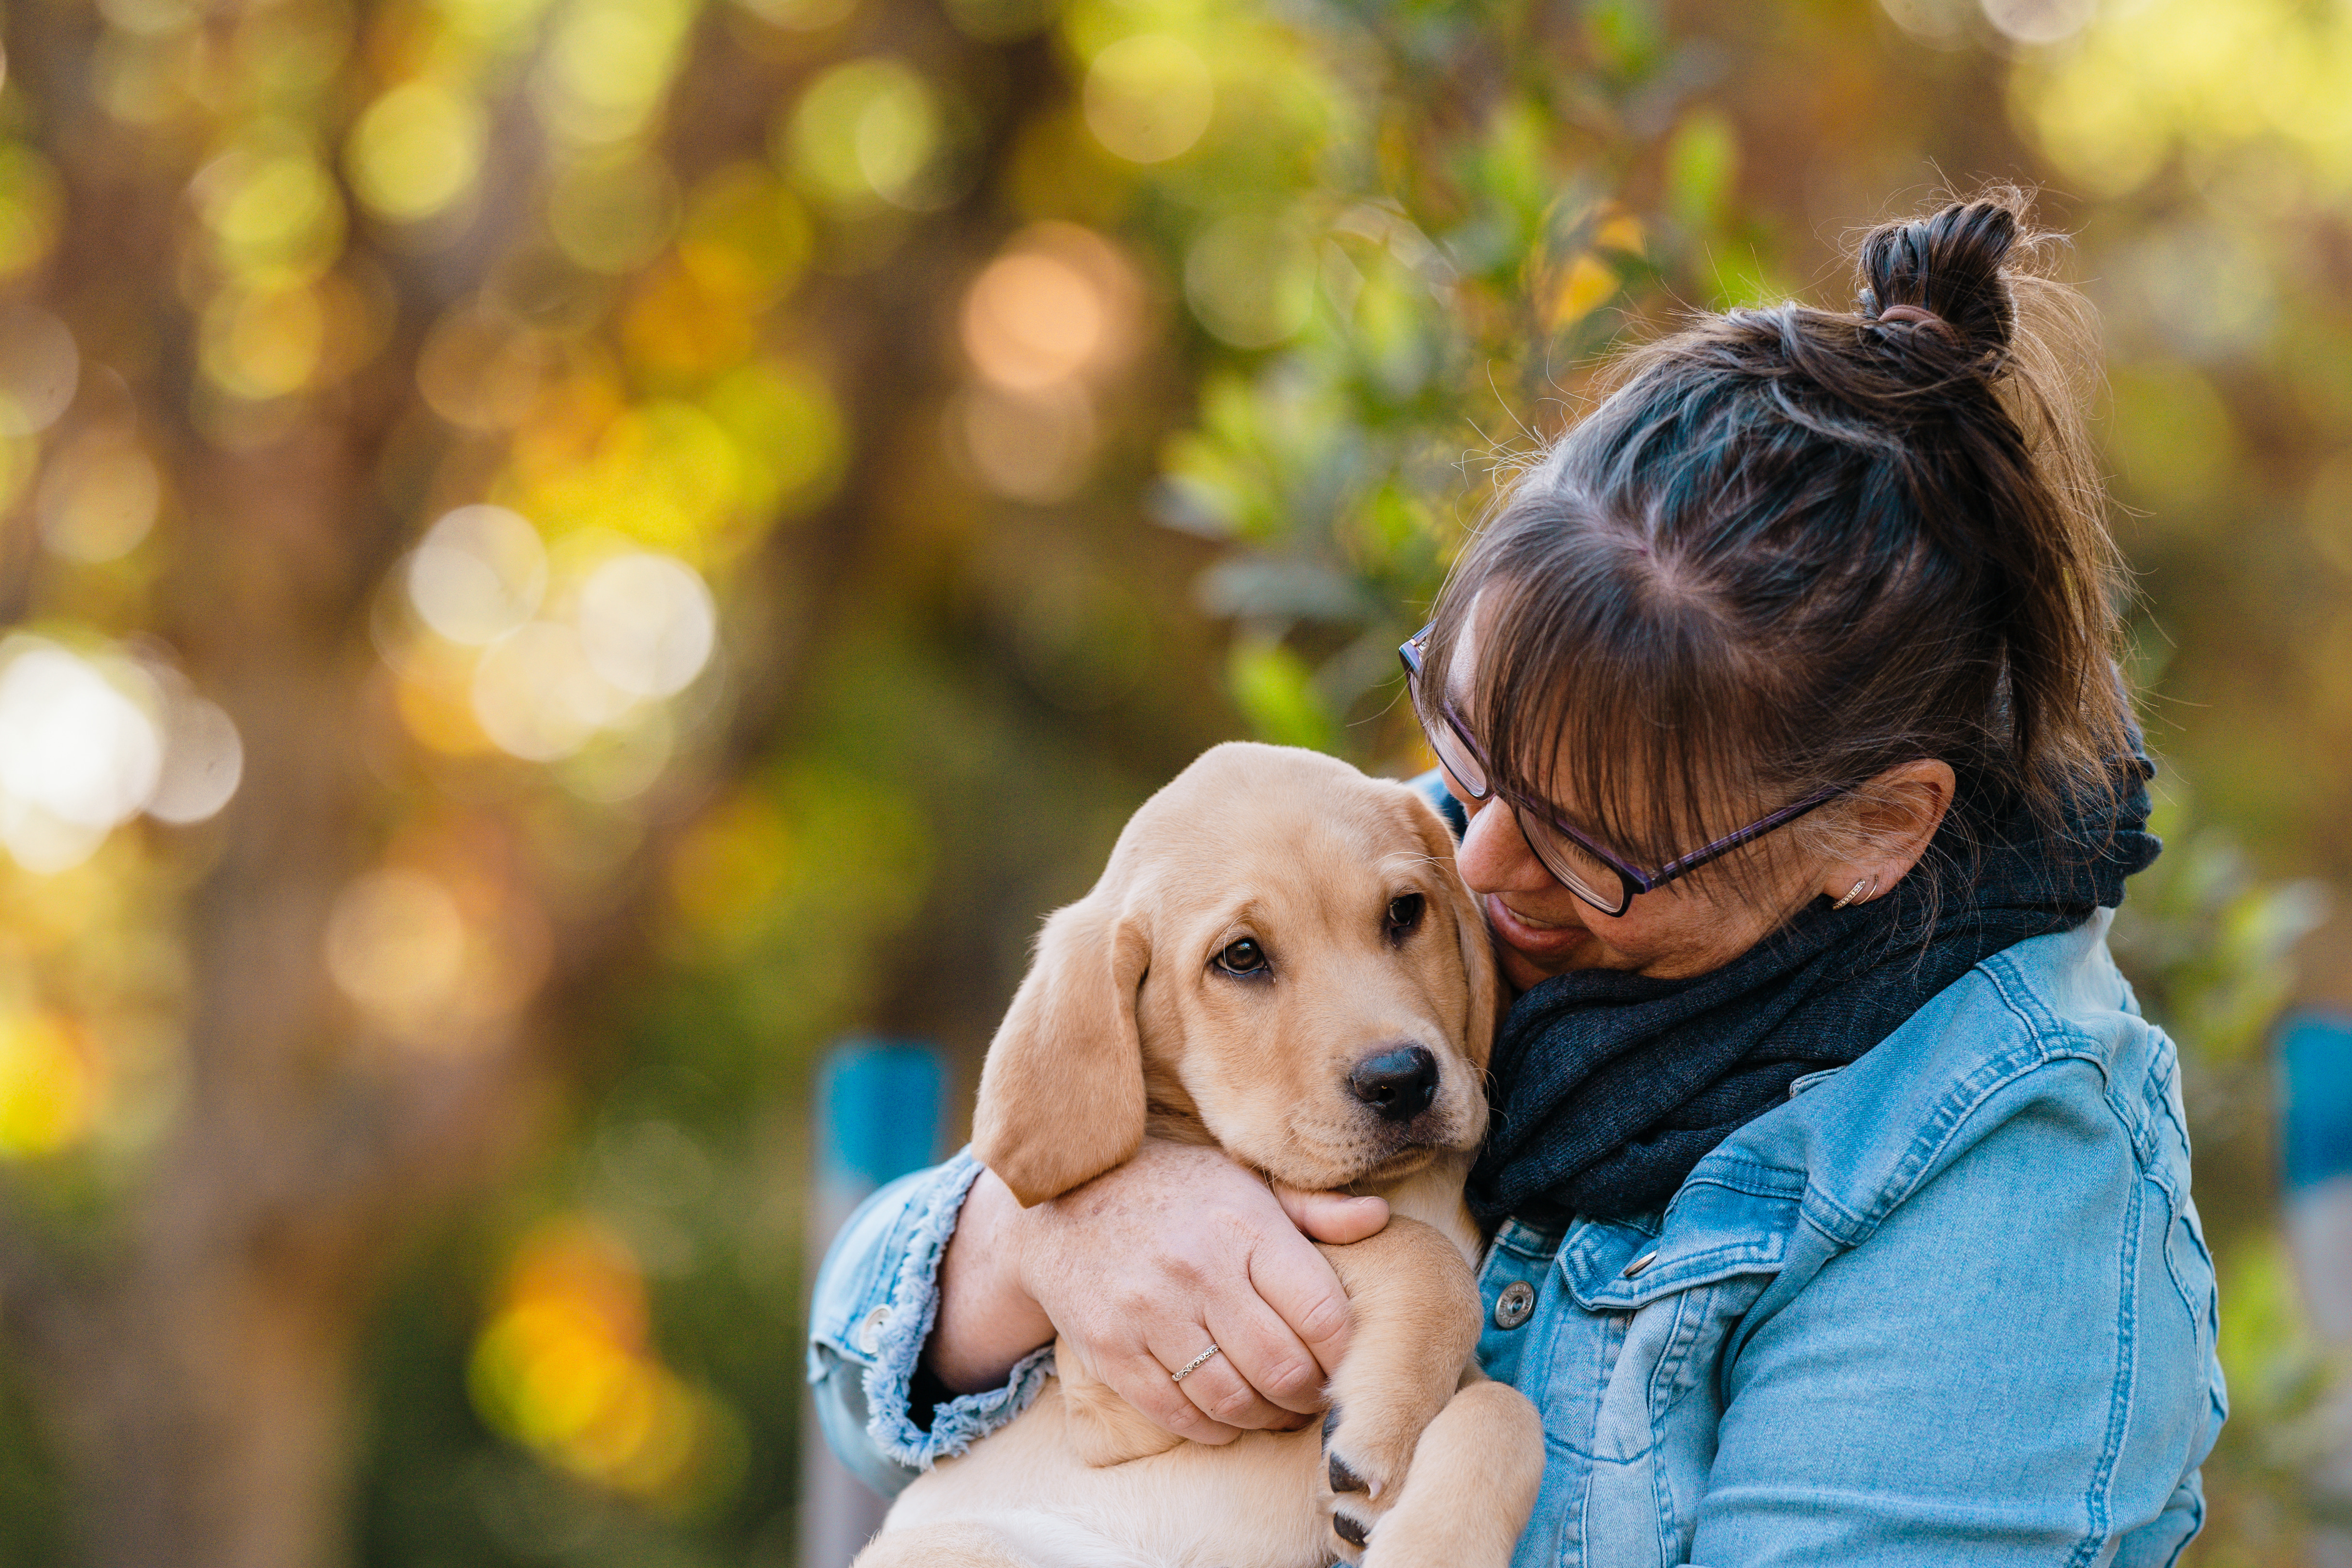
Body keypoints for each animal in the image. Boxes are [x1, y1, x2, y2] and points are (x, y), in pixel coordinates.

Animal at [856, 747, 1552, 1568]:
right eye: (1241, 956)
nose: (1402, 1079)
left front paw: (1433, 1540)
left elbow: (1507, 1406)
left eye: (1404, 912)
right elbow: (1420, 1258)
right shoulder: (1115, 1396)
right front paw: (1390, 1428)